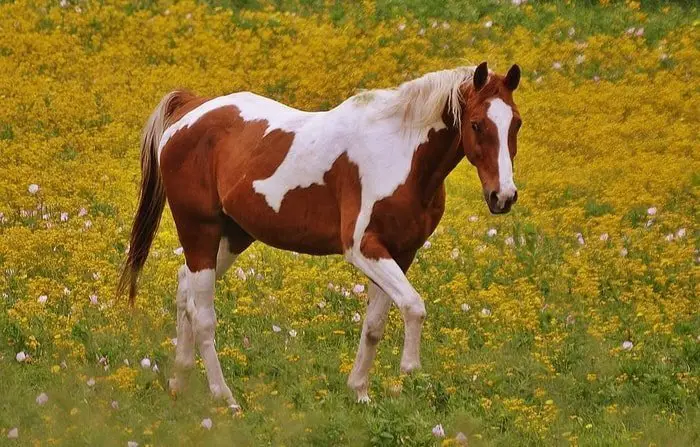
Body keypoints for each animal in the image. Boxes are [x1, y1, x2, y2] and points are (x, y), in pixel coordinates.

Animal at [119, 60, 520, 410]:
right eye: (477, 124)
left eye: (515, 123)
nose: (503, 196)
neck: (400, 154)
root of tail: (191, 108)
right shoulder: (364, 249)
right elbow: (414, 306)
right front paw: (409, 370)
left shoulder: (401, 253)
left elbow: (375, 324)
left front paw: (360, 392)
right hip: (199, 229)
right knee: (203, 316)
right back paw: (225, 399)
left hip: (231, 237)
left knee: (184, 288)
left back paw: (179, 383)